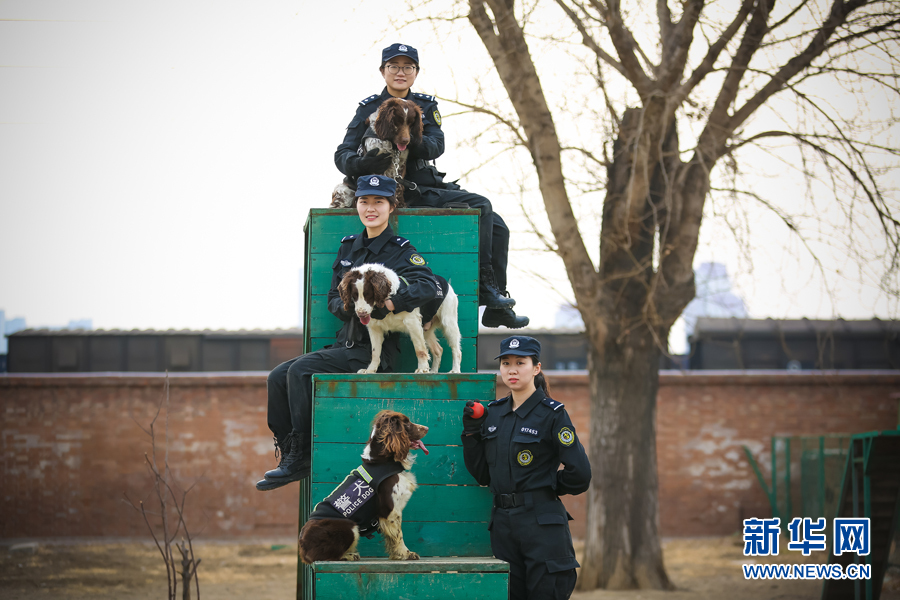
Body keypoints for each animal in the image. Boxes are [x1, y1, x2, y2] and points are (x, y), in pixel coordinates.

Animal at [298, 408, 428, 564]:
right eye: (407, 423)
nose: (427, 428)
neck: (383, 460)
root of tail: (302, 547)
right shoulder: (391, 510)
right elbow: (398, 535)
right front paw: (406, 554)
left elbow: (391, 538)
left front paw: (396, 555)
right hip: (349, 527)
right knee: (323, 556)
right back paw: (348, 555)